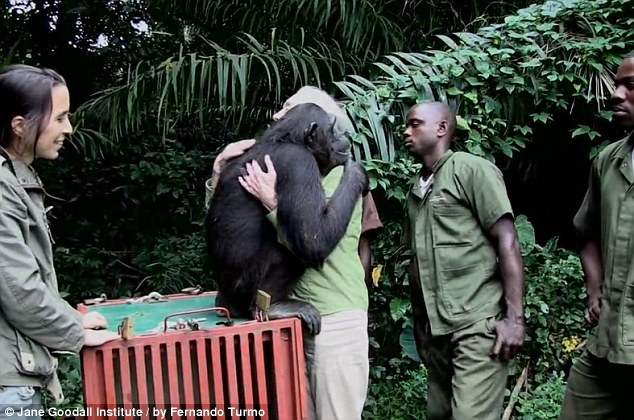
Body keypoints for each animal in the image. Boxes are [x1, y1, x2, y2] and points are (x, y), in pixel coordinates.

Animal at [205, 102, 368, 334]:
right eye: (332, 128)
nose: (342, 136)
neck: (287, 139)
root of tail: (226, 303)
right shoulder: (299, 163)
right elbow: (313, 237)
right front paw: (356, 171)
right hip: (246, 289)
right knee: (290, 246)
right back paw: (275, 306)